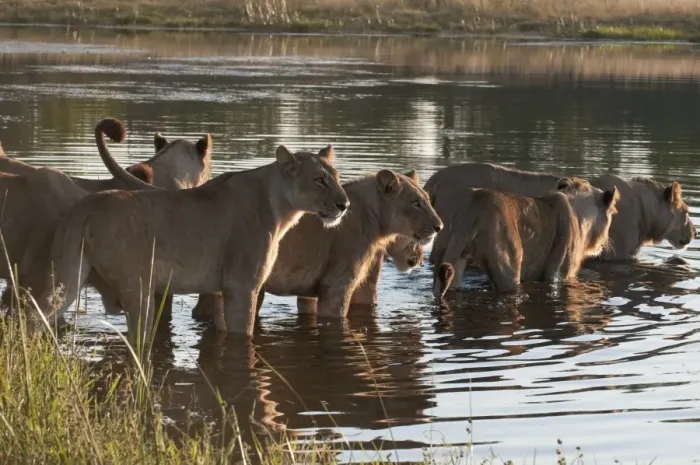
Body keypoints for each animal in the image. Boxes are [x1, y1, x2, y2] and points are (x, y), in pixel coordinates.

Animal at [19, 144, 349, 352]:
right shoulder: (243, 287)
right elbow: (243, 337)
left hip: (68, 275)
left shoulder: (222, 290)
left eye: (338, 178)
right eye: (319, 180)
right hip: (138, 286)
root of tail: (84, 207)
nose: (344, 205)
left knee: (34, 316)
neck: (279, 205)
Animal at [431, 177, 619, 297]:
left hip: (451, 252)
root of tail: (473, 204)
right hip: (508, 267)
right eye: (612, 214)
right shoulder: (559, 274)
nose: (606, 242)